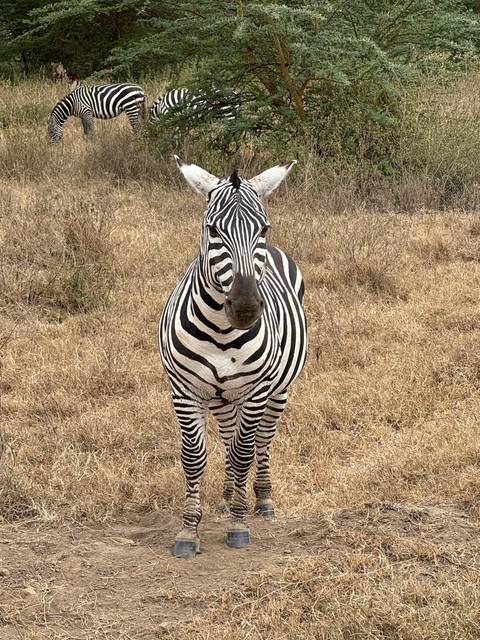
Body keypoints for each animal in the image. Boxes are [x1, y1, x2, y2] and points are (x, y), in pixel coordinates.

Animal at [159, 156, 307, 559]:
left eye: (263, 228)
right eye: (212, 229)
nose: (244, 308)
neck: (220, 331)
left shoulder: (256, 391)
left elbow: (244, 452)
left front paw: (239, 526)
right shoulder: (185, 392)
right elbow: (194, 458)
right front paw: (188, 530)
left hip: (278, 391)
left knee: (262, 441)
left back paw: (261, 500)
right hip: (222, 397)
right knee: (228, 437)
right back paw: (228, 496)